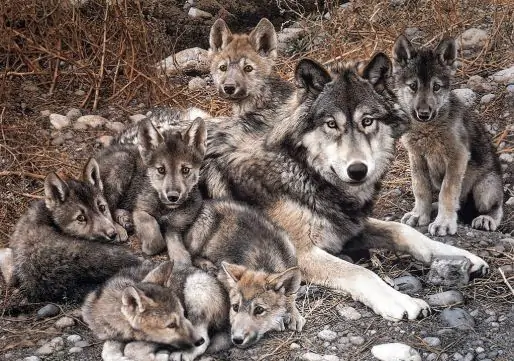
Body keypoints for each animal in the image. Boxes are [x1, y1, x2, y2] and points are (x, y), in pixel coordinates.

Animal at [83, 260, 227, 360]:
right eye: (171, 325)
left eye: (184, 314)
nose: (199, 341)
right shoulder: (113, 335)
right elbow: (108, 353)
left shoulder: (158, 340)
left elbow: (130, 348)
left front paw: (158, 357)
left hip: (196, 287)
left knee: (206, 339)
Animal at [390, 35, 502, 235]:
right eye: (413, 86)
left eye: (436, 87)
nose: (424, 114)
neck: (428, 129)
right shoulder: (416, 157)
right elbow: (420, 188)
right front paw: (420, 214)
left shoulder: (458, 157)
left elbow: (447, 192)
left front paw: (444, 222)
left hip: (485, 188)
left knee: (496, 207)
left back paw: (486, 218)